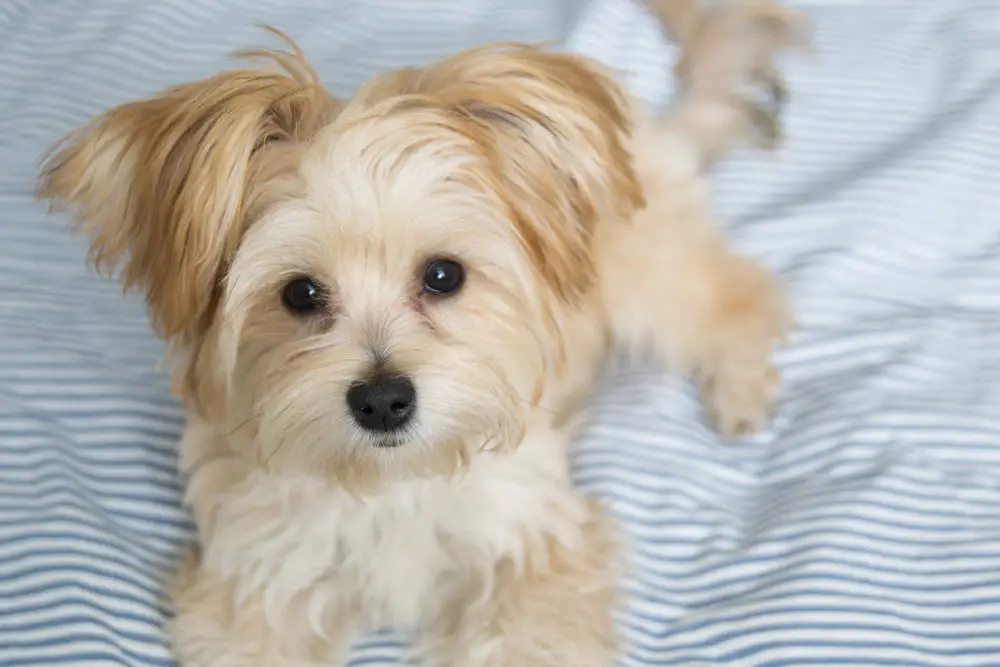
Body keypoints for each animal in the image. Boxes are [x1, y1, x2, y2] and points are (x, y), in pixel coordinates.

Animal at [37, 2, 804, 664]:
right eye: (299, 293)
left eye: (443, 275)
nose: (382, 400)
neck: (391, 485)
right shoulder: (251, 583)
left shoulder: (539, 556)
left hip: (648, 277)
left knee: (741, 297)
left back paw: (742, 390)